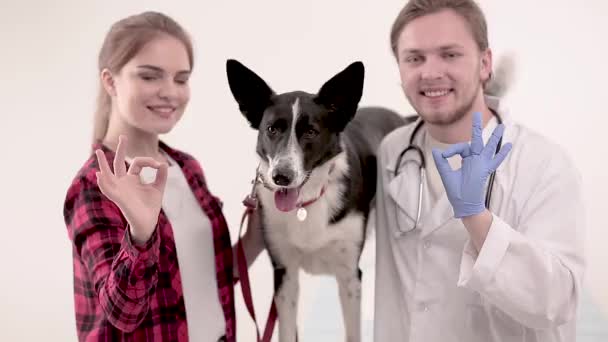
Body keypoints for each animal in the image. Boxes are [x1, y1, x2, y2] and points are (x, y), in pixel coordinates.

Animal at [227, 60, 408, 340]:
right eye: (271, 129)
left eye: (311, 132)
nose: (281, 177)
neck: (306, 204)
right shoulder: (285, 274)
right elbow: (287, 331)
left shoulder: (350, 276)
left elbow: (353, 333)